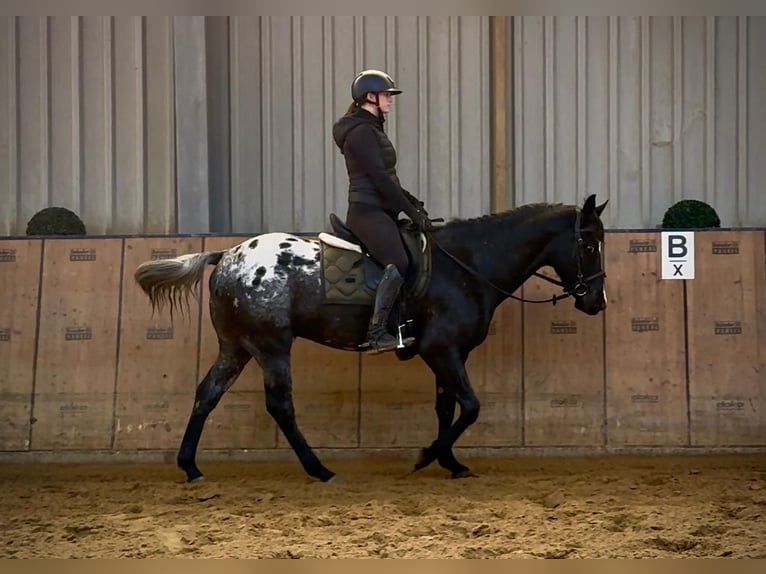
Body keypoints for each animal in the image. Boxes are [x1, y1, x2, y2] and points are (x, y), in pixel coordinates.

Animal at [134, 194, 608, 483]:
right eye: (588, 244)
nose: (596, 302)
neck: (467, 265)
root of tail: (228, 255)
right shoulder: (442, 351)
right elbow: (471, 407)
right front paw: (426, 457)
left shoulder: (445, 355)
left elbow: (447, 408)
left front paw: (450, 462)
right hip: (271, 347)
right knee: (280, 405)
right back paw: (320, 469)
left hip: (237, 346)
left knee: (207, 394)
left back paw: (191, 467)